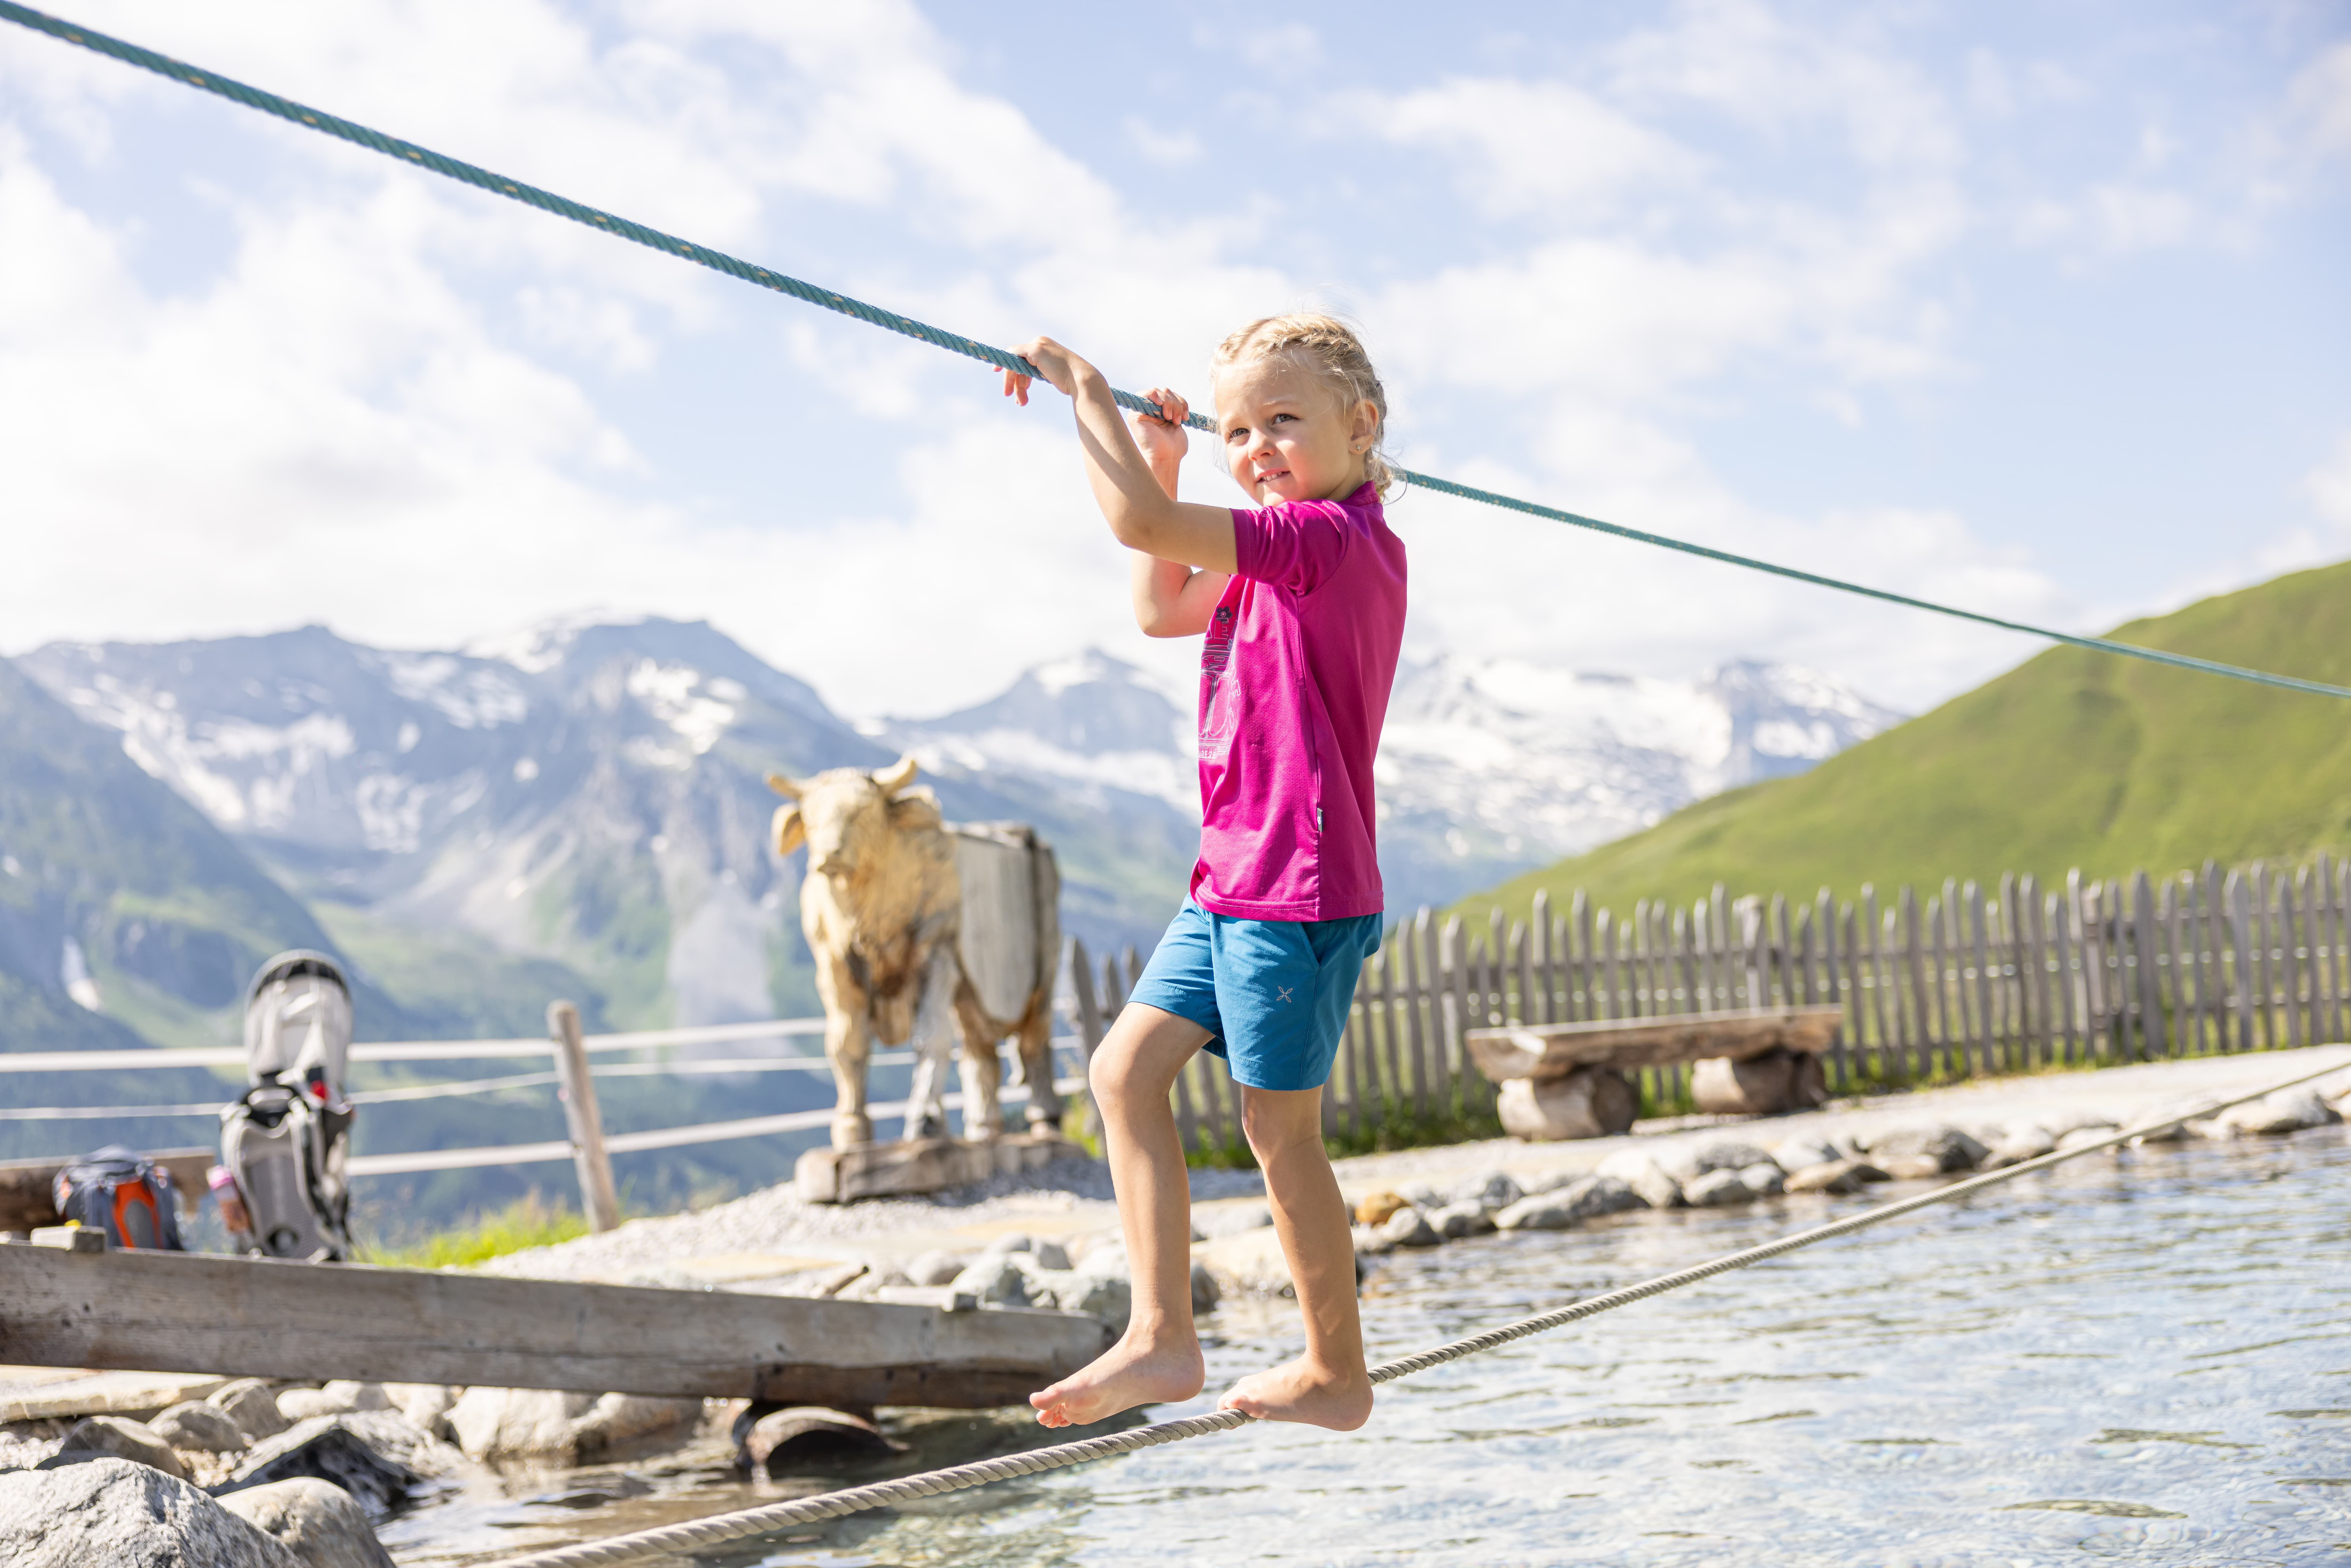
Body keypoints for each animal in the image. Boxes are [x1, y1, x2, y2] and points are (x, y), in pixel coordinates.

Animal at [767, 757, 1063, 1150]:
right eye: (810, 816)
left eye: (863, 812)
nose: (827, 855)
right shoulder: (834, 964)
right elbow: (847, 1042)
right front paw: (852, 1127)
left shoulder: (936, 951)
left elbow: (930, 1036)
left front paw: (924, 1121)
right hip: (971, 993)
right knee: (979, 1052)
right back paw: (983, 1127)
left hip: (1039, 976)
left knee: (1033, 1041)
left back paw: (1045, 1119)